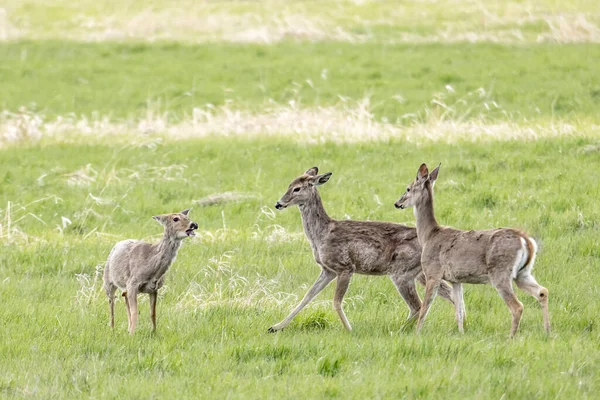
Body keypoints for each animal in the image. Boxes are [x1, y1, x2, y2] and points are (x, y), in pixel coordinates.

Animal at [268, 167, 454, 332]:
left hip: (402, 272)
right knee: (446, 292)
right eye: (289, 185)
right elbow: (307, 297)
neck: (321, 234)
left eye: (297, 188)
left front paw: (350, 330)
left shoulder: (345, 266)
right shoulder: (328, 270)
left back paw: (399, 330)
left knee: (418, 305)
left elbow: (336, 301)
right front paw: (275, 327)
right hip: (421, 273)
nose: (278, 203)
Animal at [396, 163, 552, 338]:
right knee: (542, 292)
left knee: (517, 306)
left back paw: (510, 337)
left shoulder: (433, 273)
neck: (429, 235)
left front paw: (417, 333)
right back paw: (548, 331)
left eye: (408, 188)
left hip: (500, 272)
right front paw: (461, 333)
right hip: (523, 273)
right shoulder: (456, 279)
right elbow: (459, 309)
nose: (397, 203)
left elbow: (425, 308)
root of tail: (526, 240)